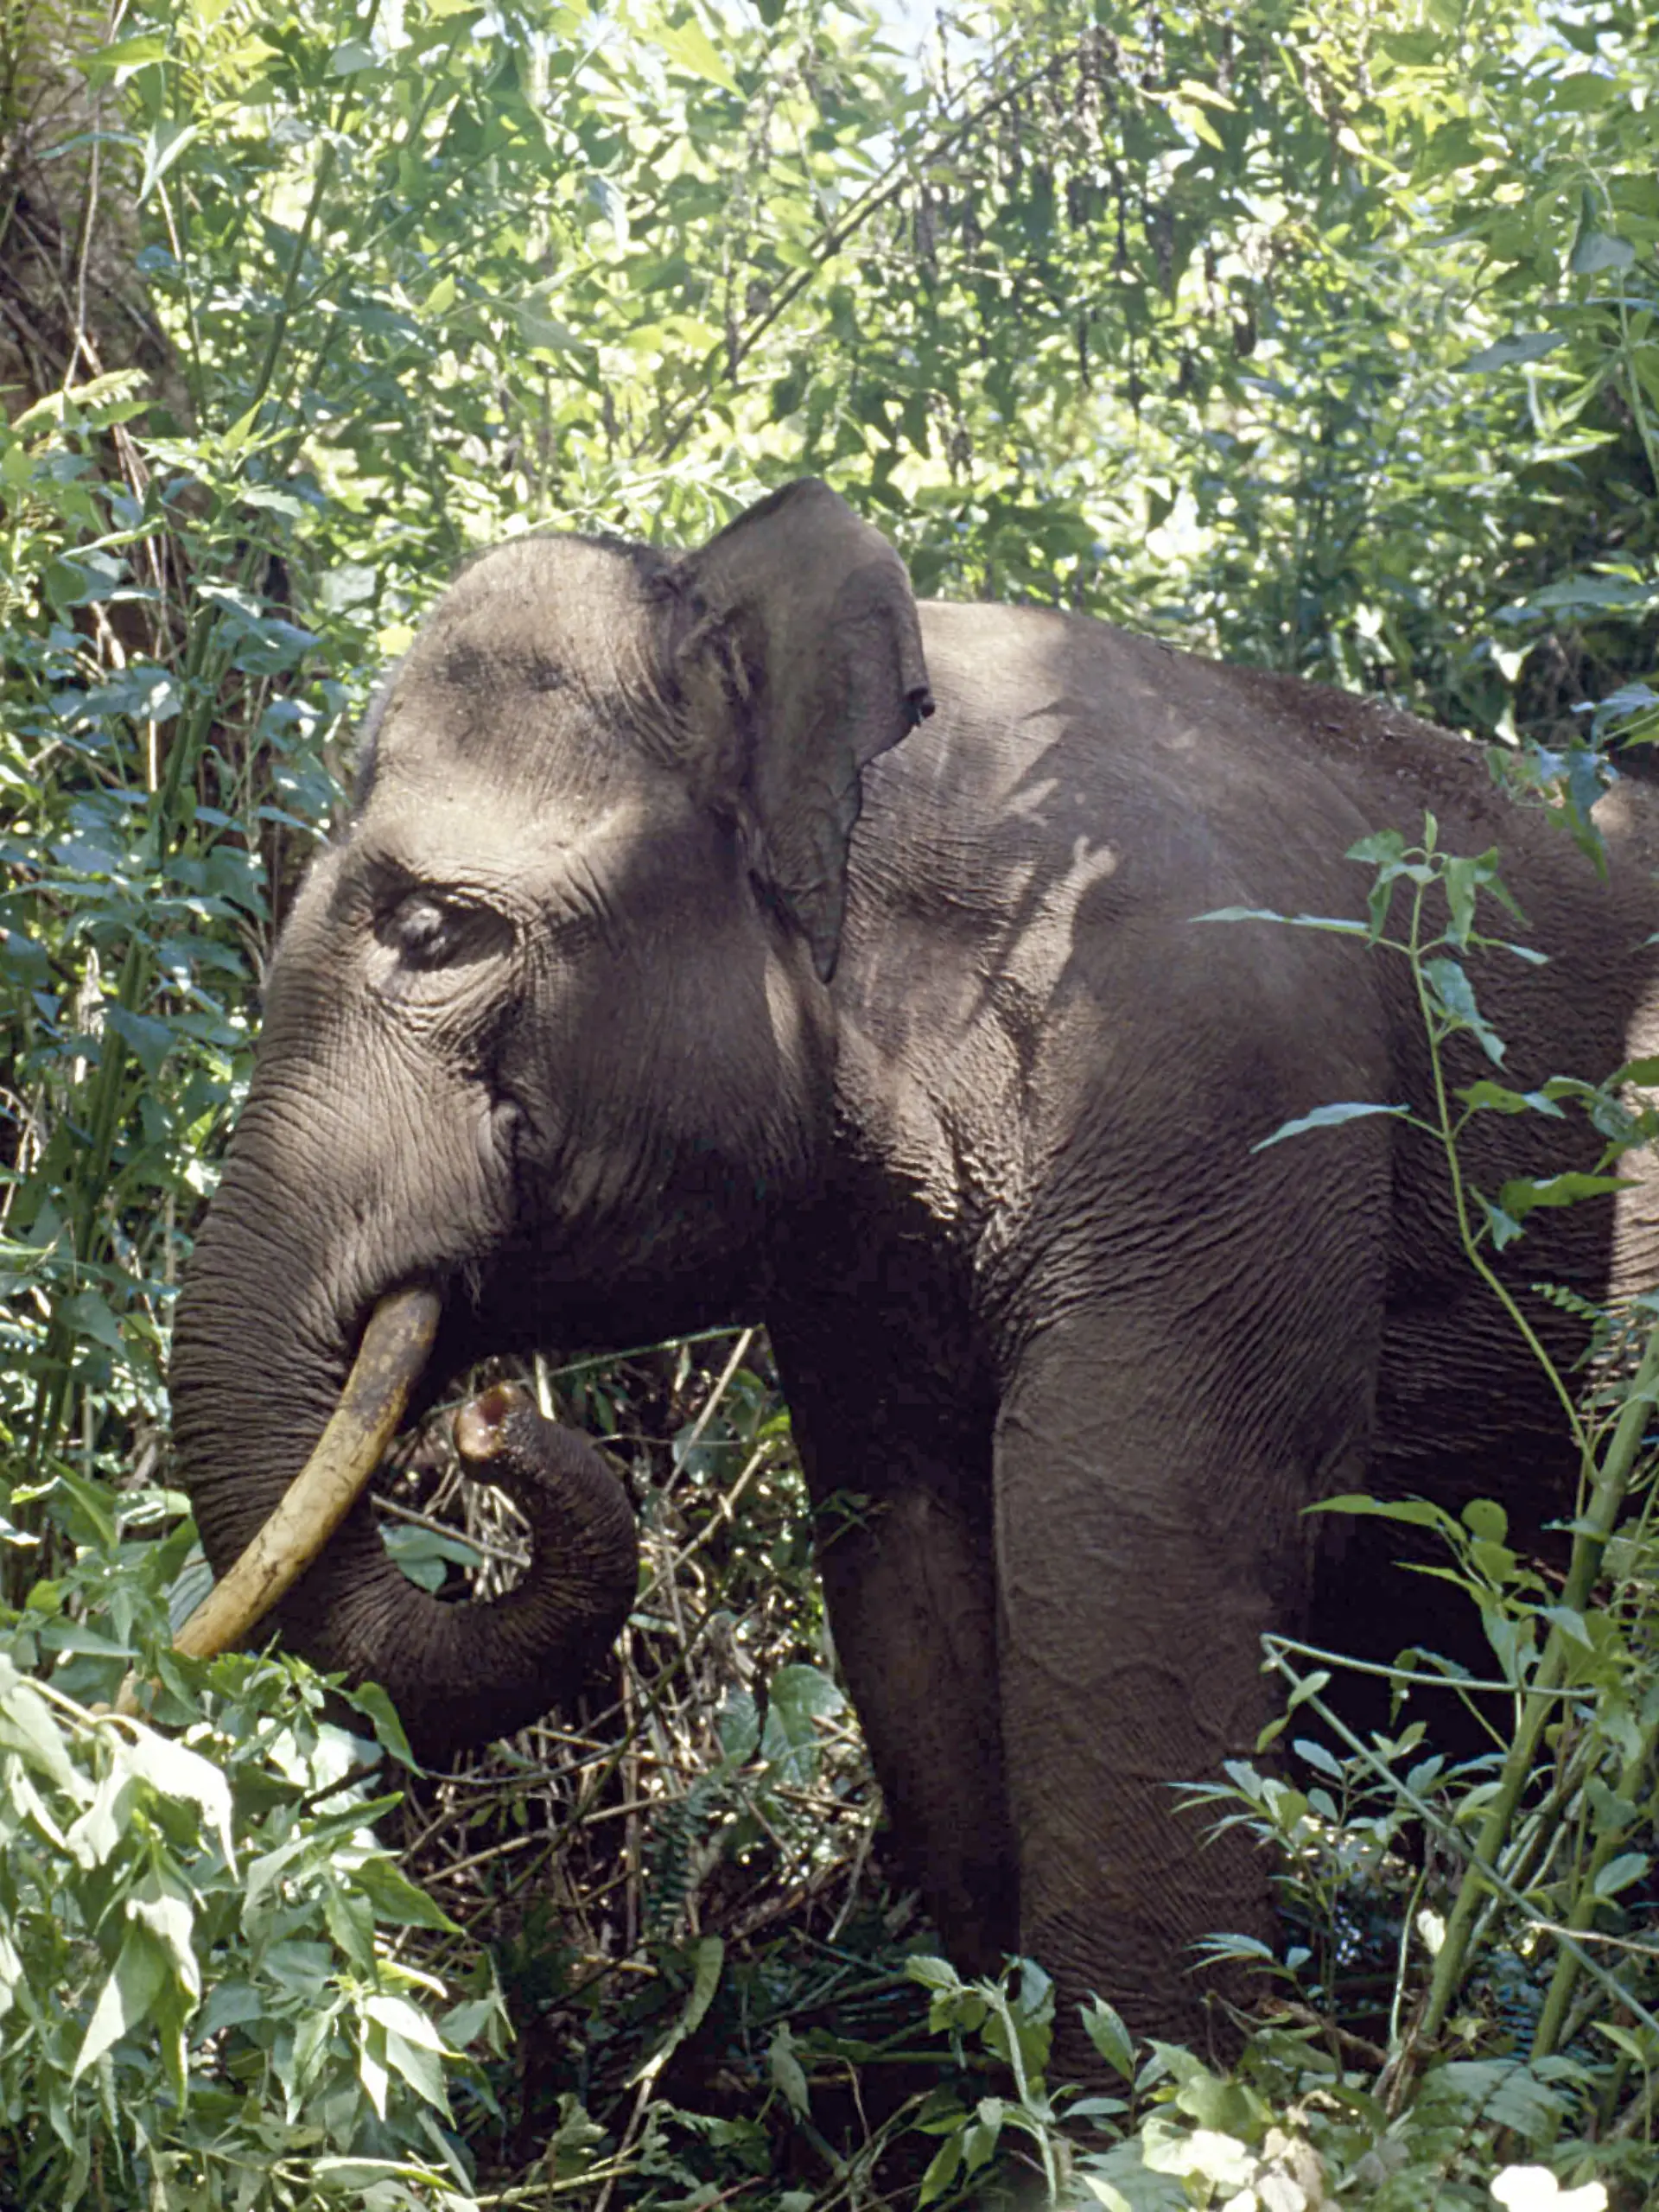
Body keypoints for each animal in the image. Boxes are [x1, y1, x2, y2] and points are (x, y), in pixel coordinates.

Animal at [170, 478, 1659, 2049]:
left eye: (430, 929)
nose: (493, 1420)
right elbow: (907, 1564)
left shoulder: (1220, 1096)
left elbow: (1138, 1537)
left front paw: (1136, 2096)